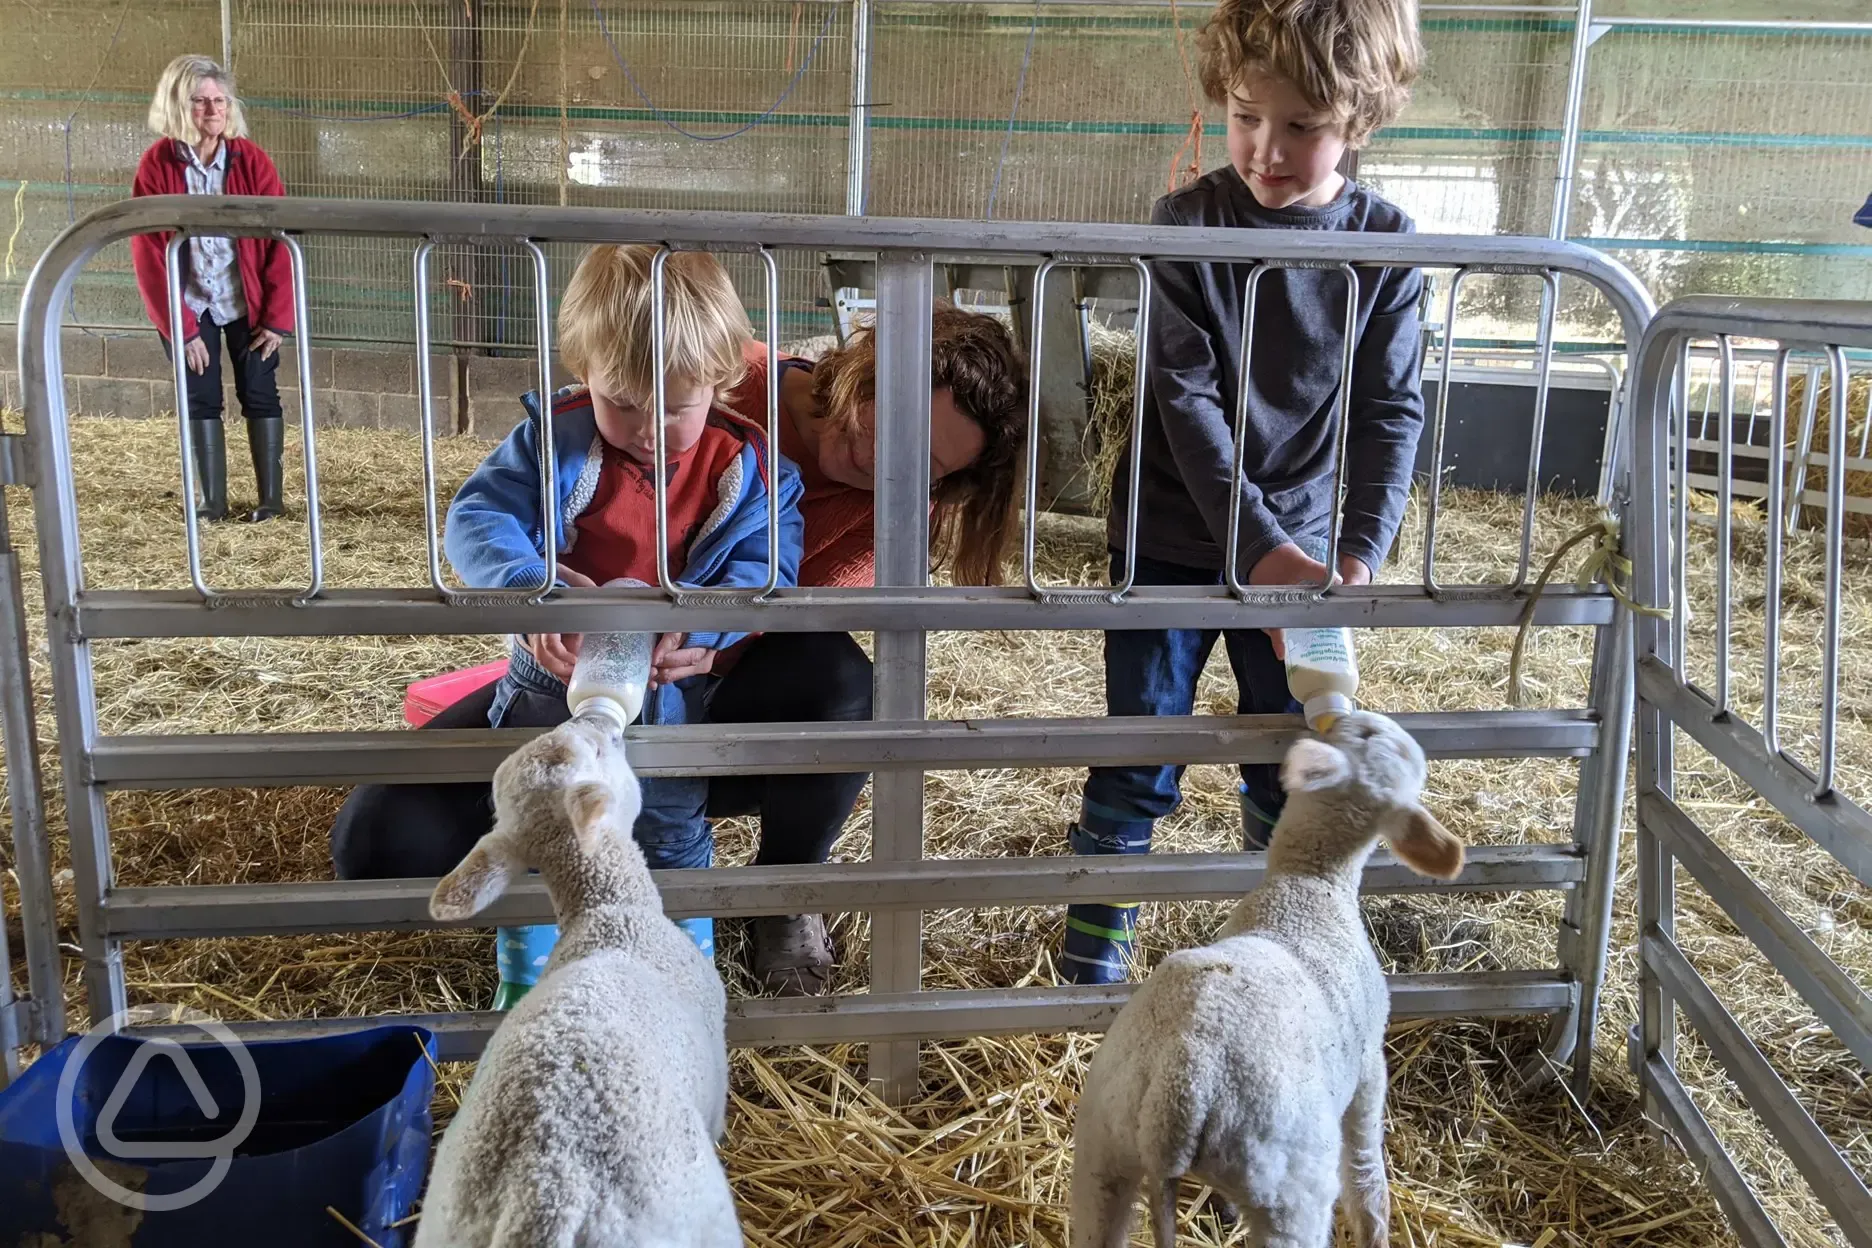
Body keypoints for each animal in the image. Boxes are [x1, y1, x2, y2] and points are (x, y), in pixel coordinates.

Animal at [1070, 711, 1460, 1248]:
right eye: (1370, 736)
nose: (1348, 714)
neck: (1308, 883)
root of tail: (1177, 1095)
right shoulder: (1368, 1071)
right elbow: (1366, 1176)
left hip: (1101, 1154)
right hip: (1288, 1194)